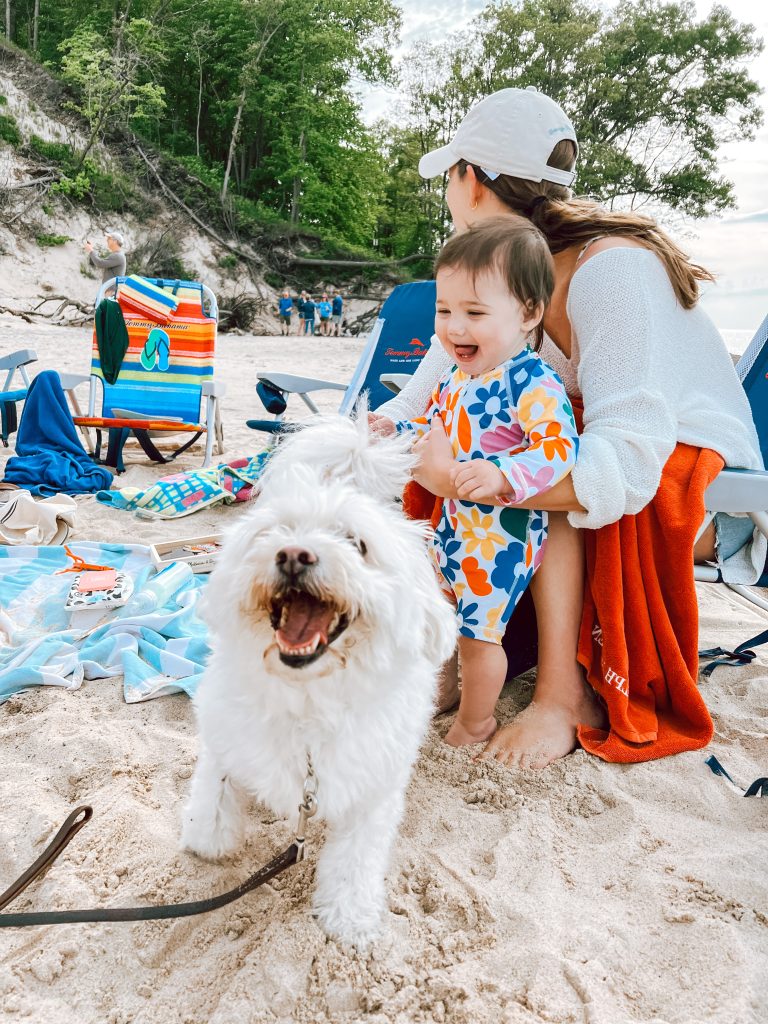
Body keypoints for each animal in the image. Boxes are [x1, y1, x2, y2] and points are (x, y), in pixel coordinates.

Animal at [180, 411, 456, 946]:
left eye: (358, 544)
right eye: (275, 531)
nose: (293, 554)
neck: (306, 699)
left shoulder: (372, 788)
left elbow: (354, 862)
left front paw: (349, 918)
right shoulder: (225, 740)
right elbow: (215, 792)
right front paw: (208, 839)